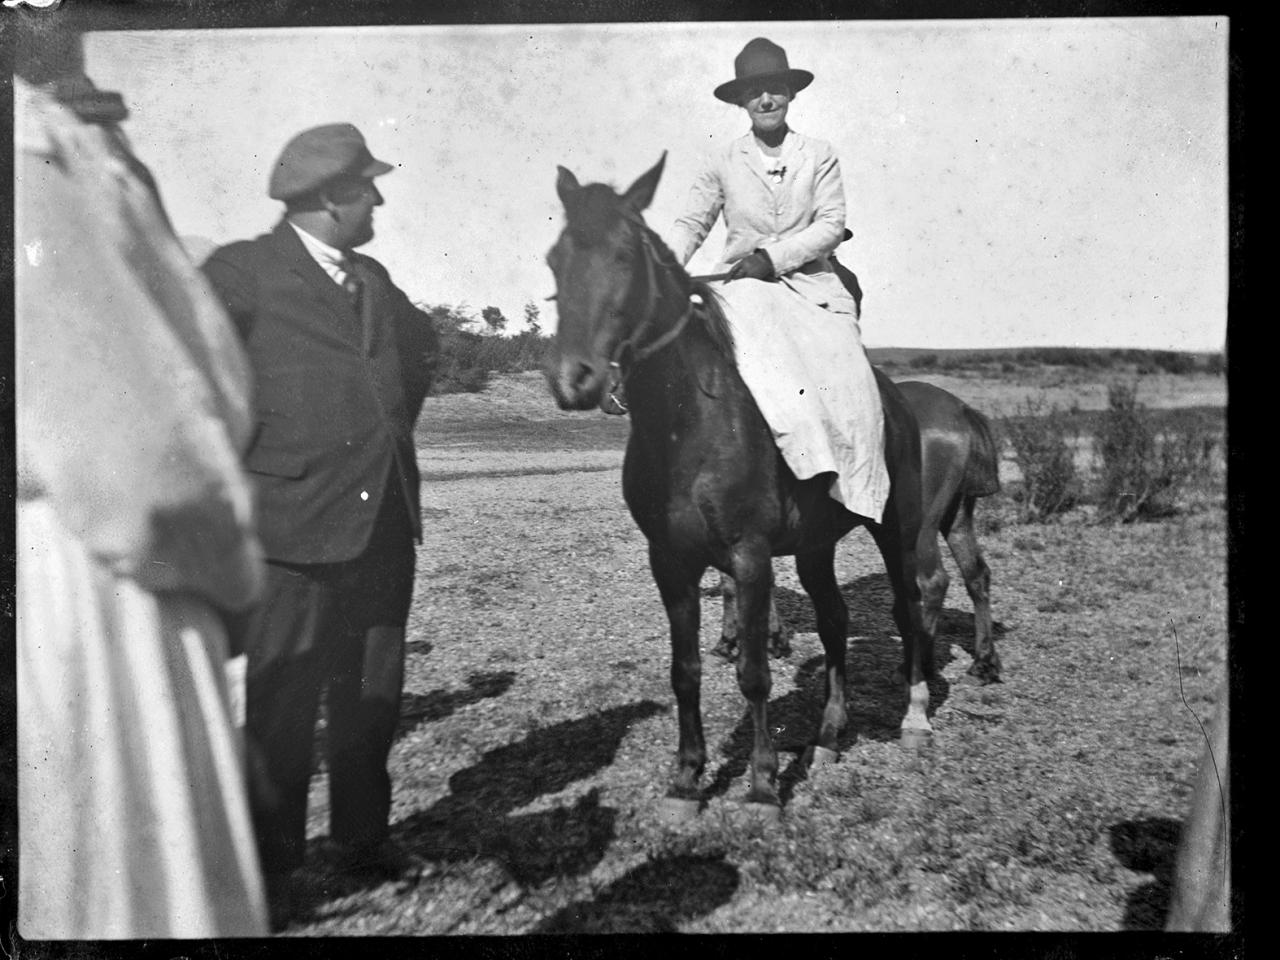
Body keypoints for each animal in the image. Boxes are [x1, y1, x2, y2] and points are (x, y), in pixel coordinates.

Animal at [545, 158, 936, 819]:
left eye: (624, 256)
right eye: (555, 259)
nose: (574, 380)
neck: (686, 423)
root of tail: (897, 399)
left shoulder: (750, 559)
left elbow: (754, 674)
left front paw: (761, 785)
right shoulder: (670, 562)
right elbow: (685, 671)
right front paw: (685, 779)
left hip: (896, 529)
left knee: (908, 609)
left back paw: (914, 719)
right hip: (815, 548)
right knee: (835, 621)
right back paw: (827, 736)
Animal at [716, 378, 1003, 686]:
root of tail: (960, 410)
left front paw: (737, 642)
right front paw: (766, 641)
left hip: (918, 527)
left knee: (934, 582)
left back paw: (917, 666)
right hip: (956, 517)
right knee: (976, 575)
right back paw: (984, 662)